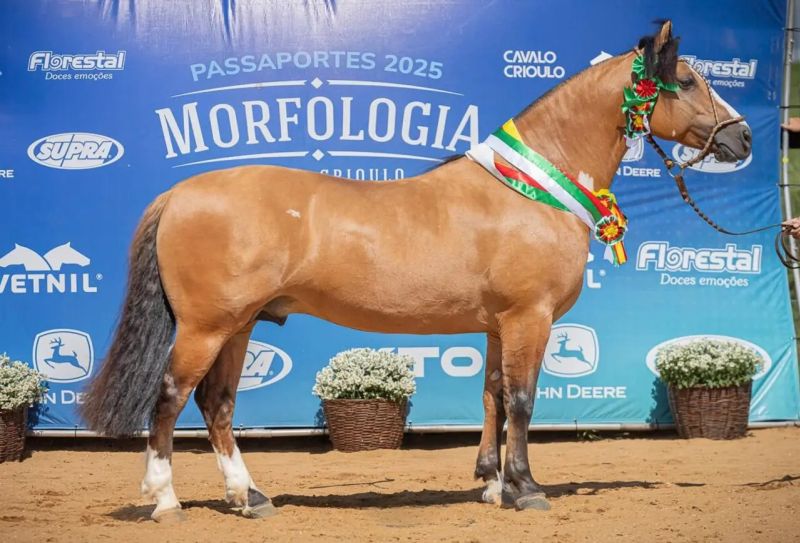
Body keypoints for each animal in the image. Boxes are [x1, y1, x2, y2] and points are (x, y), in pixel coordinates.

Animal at [82, 20, 751, 522]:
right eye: (686, 80)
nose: (742, 138)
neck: (532, 188)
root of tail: (180, 193)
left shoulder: (497, 324)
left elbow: (491, 396)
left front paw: (491, 485)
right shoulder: (529, 317)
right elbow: (522, 401)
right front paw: (527, 489)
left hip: (238, 325)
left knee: (216, 403)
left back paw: (249, 497)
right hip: (205, 326)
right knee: (171, 398)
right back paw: (166, 500)